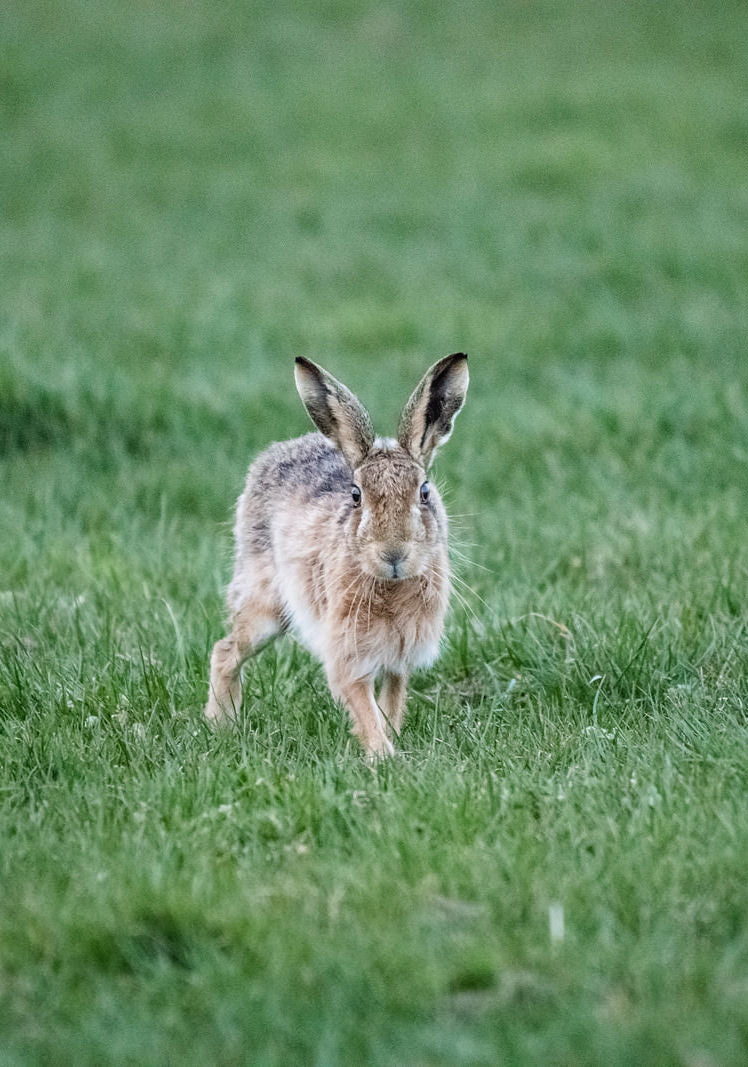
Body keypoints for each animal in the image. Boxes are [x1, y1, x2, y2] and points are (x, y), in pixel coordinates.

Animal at [204, 352, 469, 757]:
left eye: (425, 492)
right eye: (356, 495)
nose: (393, 554)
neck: (389, 586)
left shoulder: (399, 655)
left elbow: (391, 700)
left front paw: (391, 741)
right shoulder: (346, 650)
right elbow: (362, 702)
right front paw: (384, 756)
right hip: (266, 607)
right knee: (225, 651)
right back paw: (222, 726)